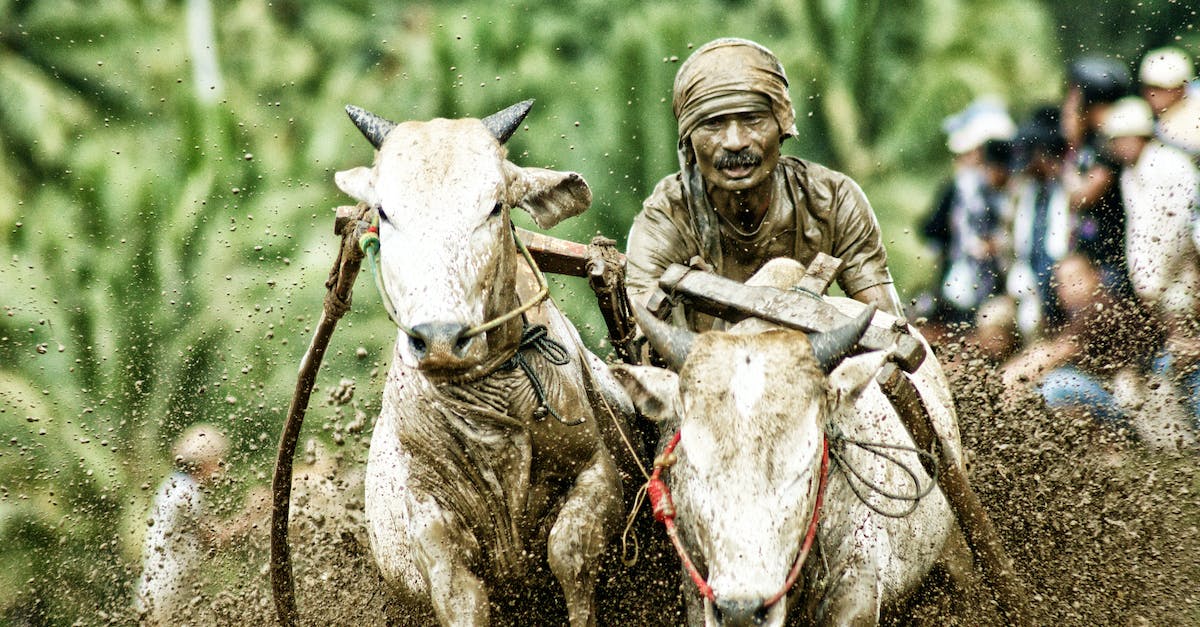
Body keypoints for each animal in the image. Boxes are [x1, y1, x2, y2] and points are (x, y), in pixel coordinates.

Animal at [334, 101, 636, 626]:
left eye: (494, 206)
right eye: (385, 212)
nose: (439, 338)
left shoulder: (595, 470)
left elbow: (568, 552)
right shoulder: (432, 529)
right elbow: (464, 599)